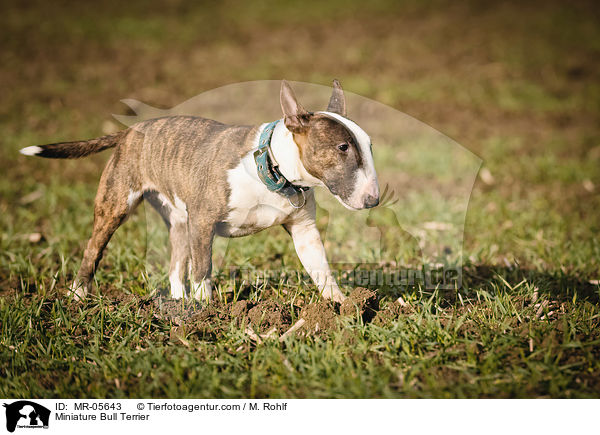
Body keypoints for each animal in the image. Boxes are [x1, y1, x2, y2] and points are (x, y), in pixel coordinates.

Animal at [23, 81, 382, 304]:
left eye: (369, 145)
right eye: (342, 147)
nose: (374, 199)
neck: (271, 168)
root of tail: (130, 131)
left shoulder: (304, 230)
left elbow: (321, 270)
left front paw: (341, 307)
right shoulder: (203, 221)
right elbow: (203, 269)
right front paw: (207, 310)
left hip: (179, 220)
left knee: (174, 266)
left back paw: (178, 302)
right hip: (116, 204)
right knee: (93, 249)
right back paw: (78, 295)